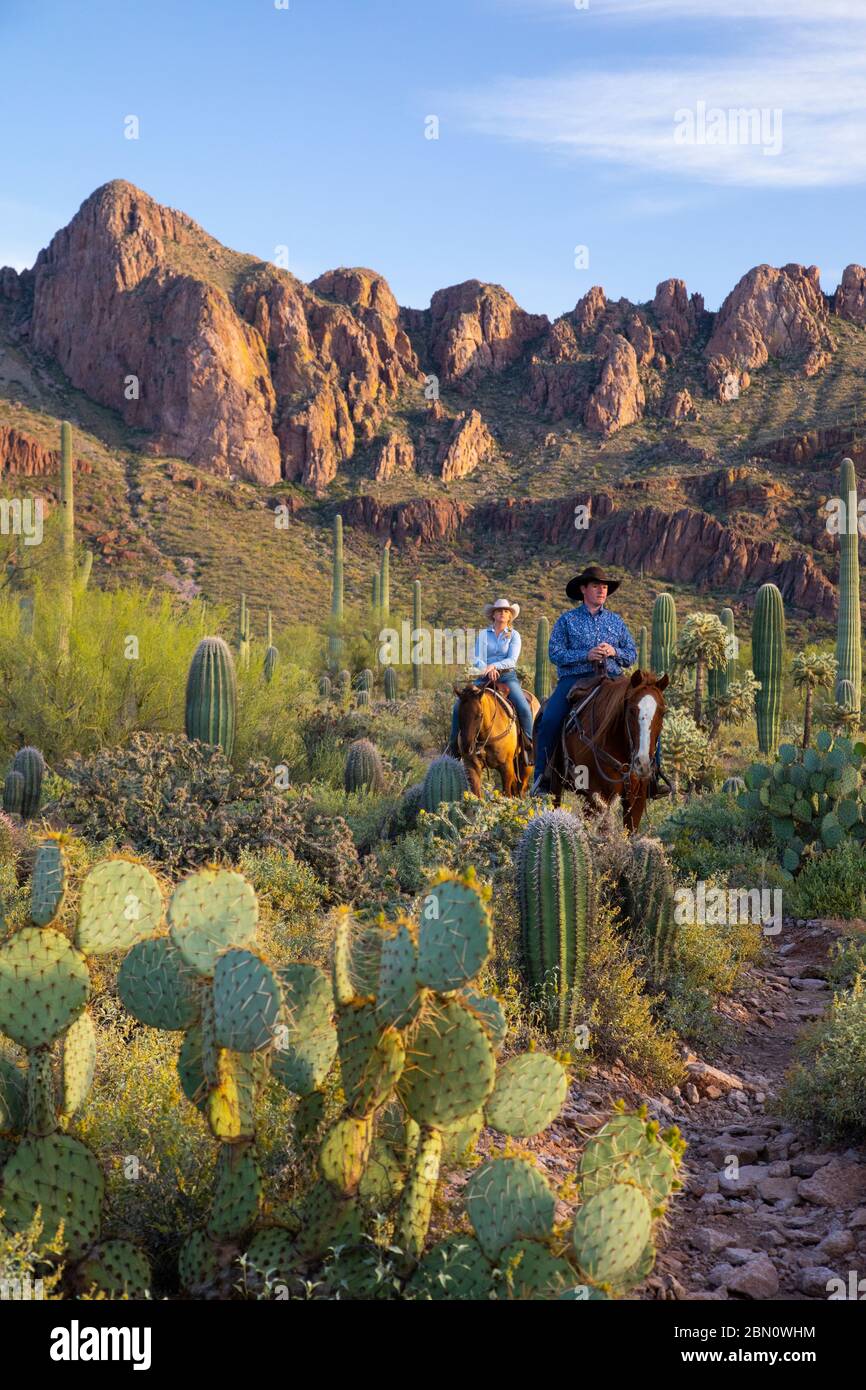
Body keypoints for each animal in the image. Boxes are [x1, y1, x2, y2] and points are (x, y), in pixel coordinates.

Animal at [547, 667, 670, 828]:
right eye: (631, 710)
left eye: (662, 712)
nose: (642, 763)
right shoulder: (598, 798)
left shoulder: (637, 799)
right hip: (556, 787)